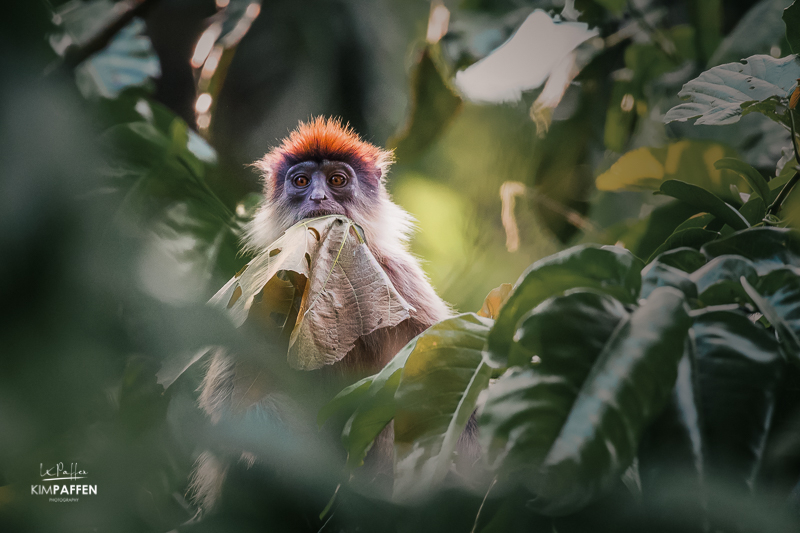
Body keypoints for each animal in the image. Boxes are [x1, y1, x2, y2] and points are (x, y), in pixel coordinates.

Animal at [191, 117, 454, 512]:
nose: (317, 197)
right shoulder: (265, 285)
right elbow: (225, 404)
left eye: (337, 180)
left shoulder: (396, 275)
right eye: (301, 182)